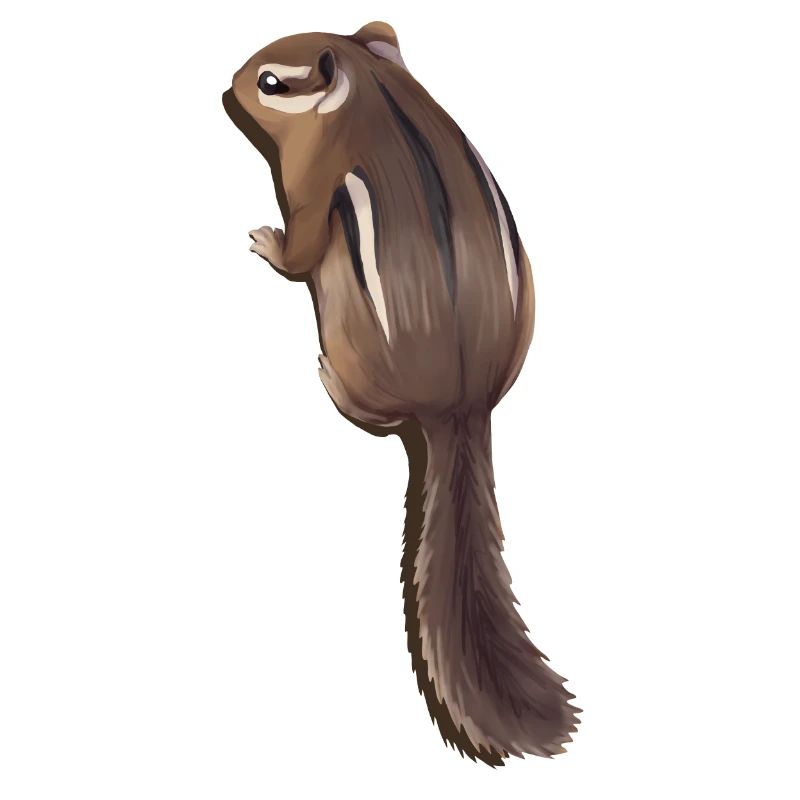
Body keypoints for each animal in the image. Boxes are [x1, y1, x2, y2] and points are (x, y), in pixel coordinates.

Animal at [223, 21, 579, 766]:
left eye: (268, 81)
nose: (228, 84)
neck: (371, 87)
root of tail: (461, 406)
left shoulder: (311, 182)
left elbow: (299, 247)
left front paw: (266, 242)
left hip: (347, 326)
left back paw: (329, 380)